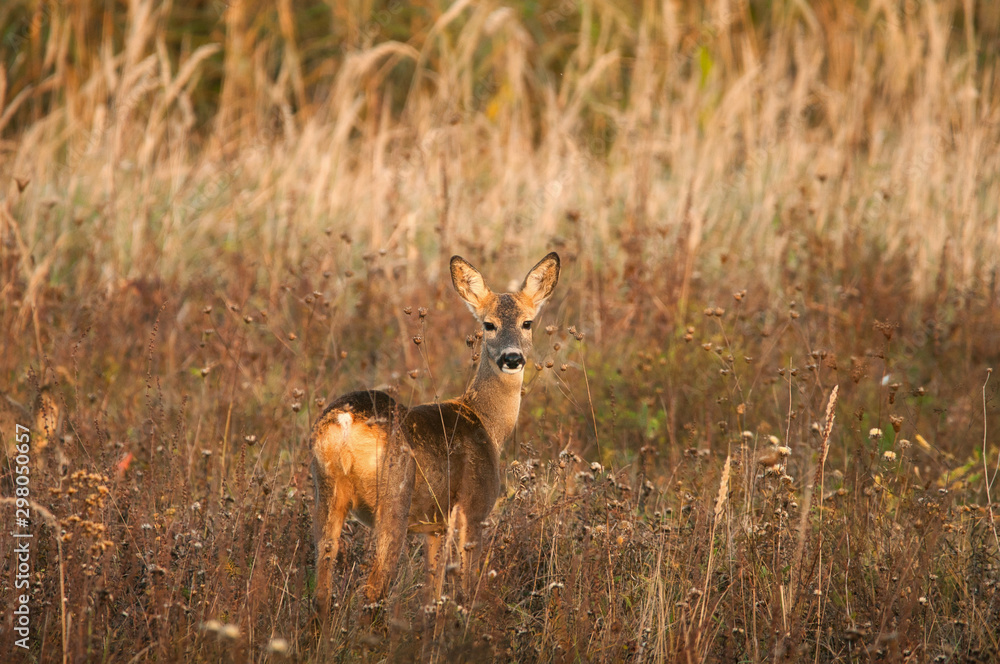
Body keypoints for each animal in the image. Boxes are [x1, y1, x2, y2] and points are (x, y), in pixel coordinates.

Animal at [310, 252, 560, 617]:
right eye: (488, 325)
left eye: (528, 323)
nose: (512, 358)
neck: (487, 422)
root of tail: (344, 421)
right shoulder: (473, 507)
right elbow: (465, 590)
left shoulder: (435, 524)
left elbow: (433, 593)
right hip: (394, 494)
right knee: (373, 588)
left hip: (325, 489)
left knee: (322, 584)